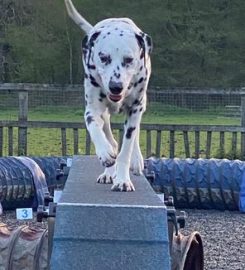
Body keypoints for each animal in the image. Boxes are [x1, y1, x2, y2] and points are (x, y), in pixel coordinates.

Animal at [65, 1, 152, 193]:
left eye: (129, 59)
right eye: (103, 57)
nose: (115, 86)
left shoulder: (135, 109)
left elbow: (126, 148)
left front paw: (123, 180)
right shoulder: (93, 110)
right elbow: (95, 130)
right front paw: (105, 153)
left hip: (141, 106)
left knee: (133, 134)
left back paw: (136, 160)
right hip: (105, 115)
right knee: (110, 139)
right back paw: (108, 170)